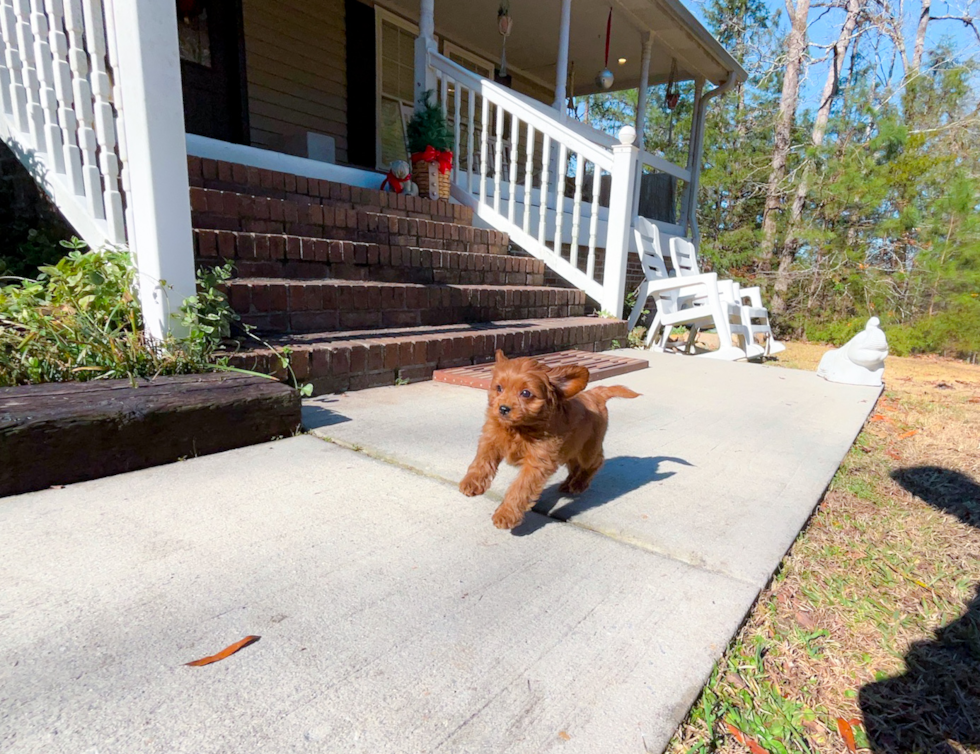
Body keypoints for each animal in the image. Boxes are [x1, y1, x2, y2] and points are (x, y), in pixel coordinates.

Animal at [462, 348, 644, 528]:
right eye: (499, 388)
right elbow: (482, 460)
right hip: (571, 449)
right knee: (575, 465)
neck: (519, 428)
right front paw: (472, 482)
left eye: (526, 393)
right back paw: (568, 483)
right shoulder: (491, 439)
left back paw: (579, 483)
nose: (503, 409)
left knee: (595, 462)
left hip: (588, 449)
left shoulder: (537, 462)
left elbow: (520, 488)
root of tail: (595, 394)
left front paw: (506, 514)